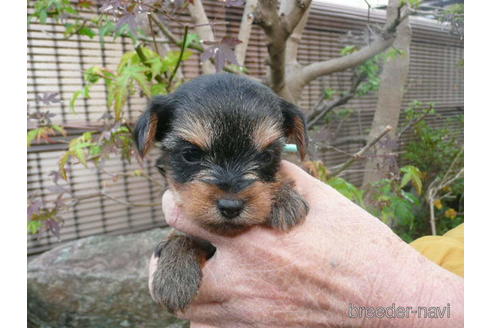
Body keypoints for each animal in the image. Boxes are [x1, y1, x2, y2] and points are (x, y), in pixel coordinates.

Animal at [133, 73, 310, 314]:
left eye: (266, 156)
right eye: (191, 154)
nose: (231, 206)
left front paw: (284, 197)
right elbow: (182, 235)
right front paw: (175, 273)